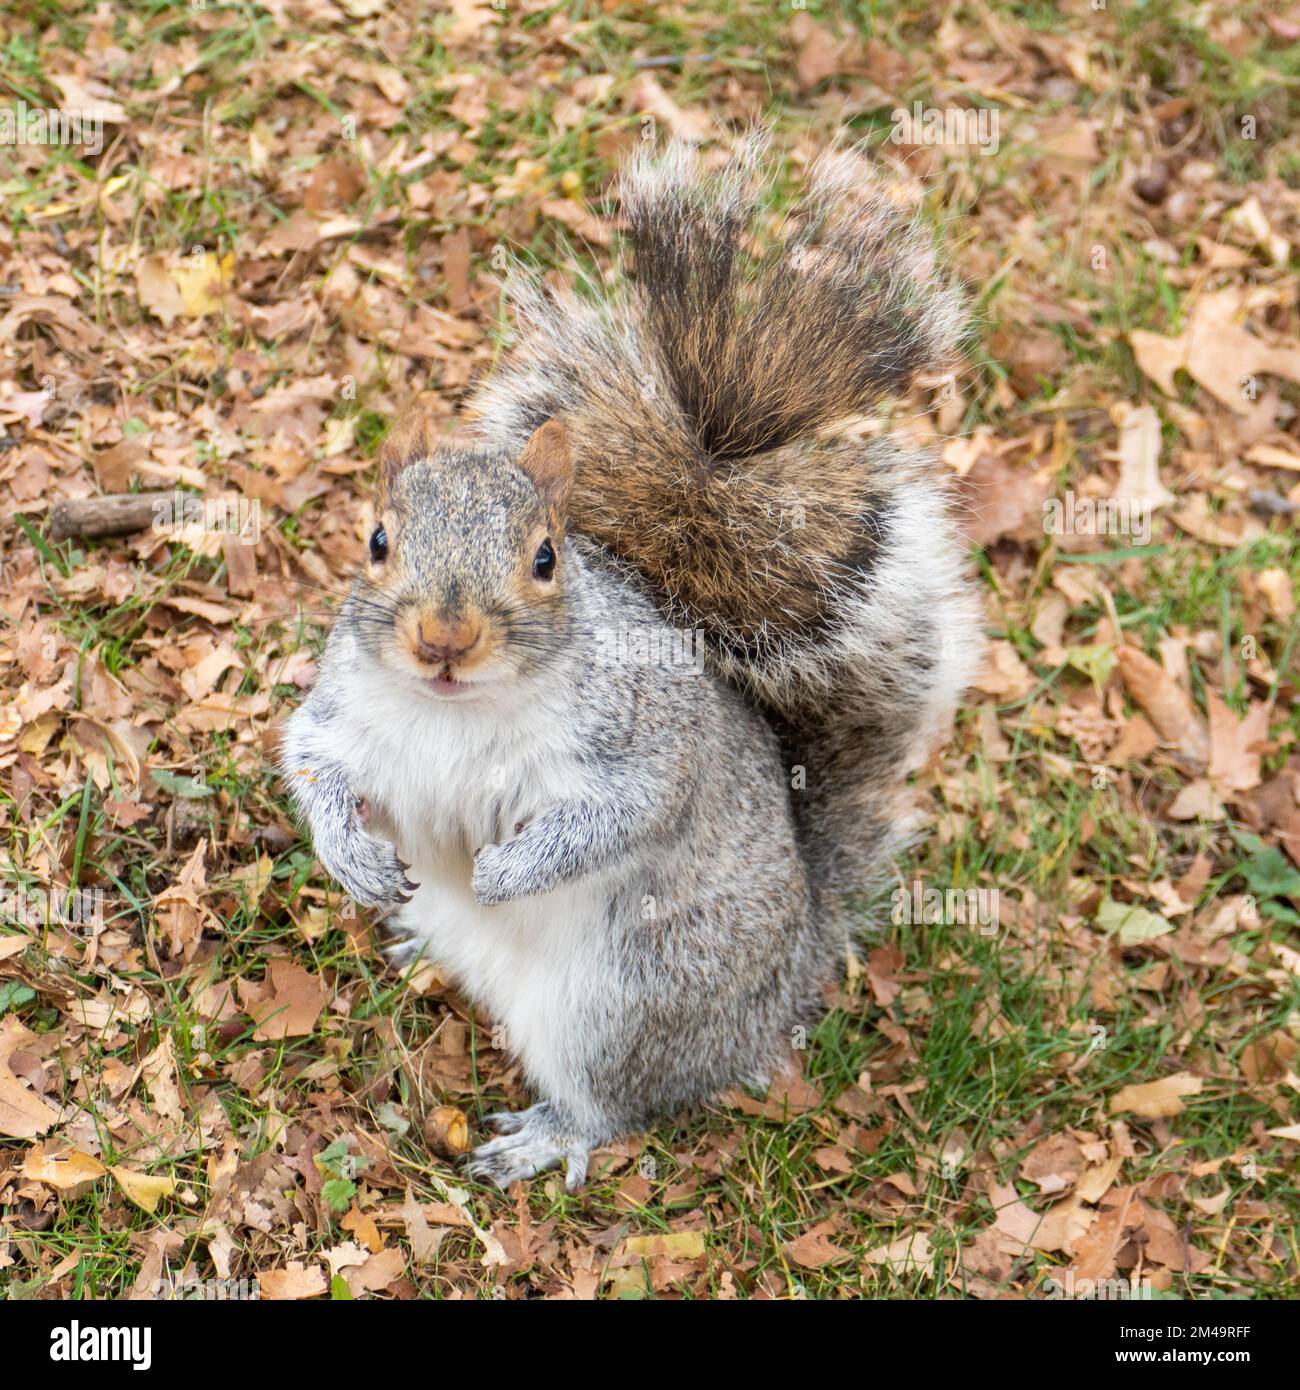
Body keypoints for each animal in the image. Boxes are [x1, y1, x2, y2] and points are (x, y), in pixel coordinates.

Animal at [279, 141, 978, 1189]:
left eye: (545, 558)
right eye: (375, 541)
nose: (444, 640)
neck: (456, 708)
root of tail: (782, 983)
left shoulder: (640, 740)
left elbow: (622, 813)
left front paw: (507, 872)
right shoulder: (346, 709)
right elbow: (311, 761)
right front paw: (349, 854)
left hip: (629, 997)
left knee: (618, 1101)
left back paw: (551, 1133)